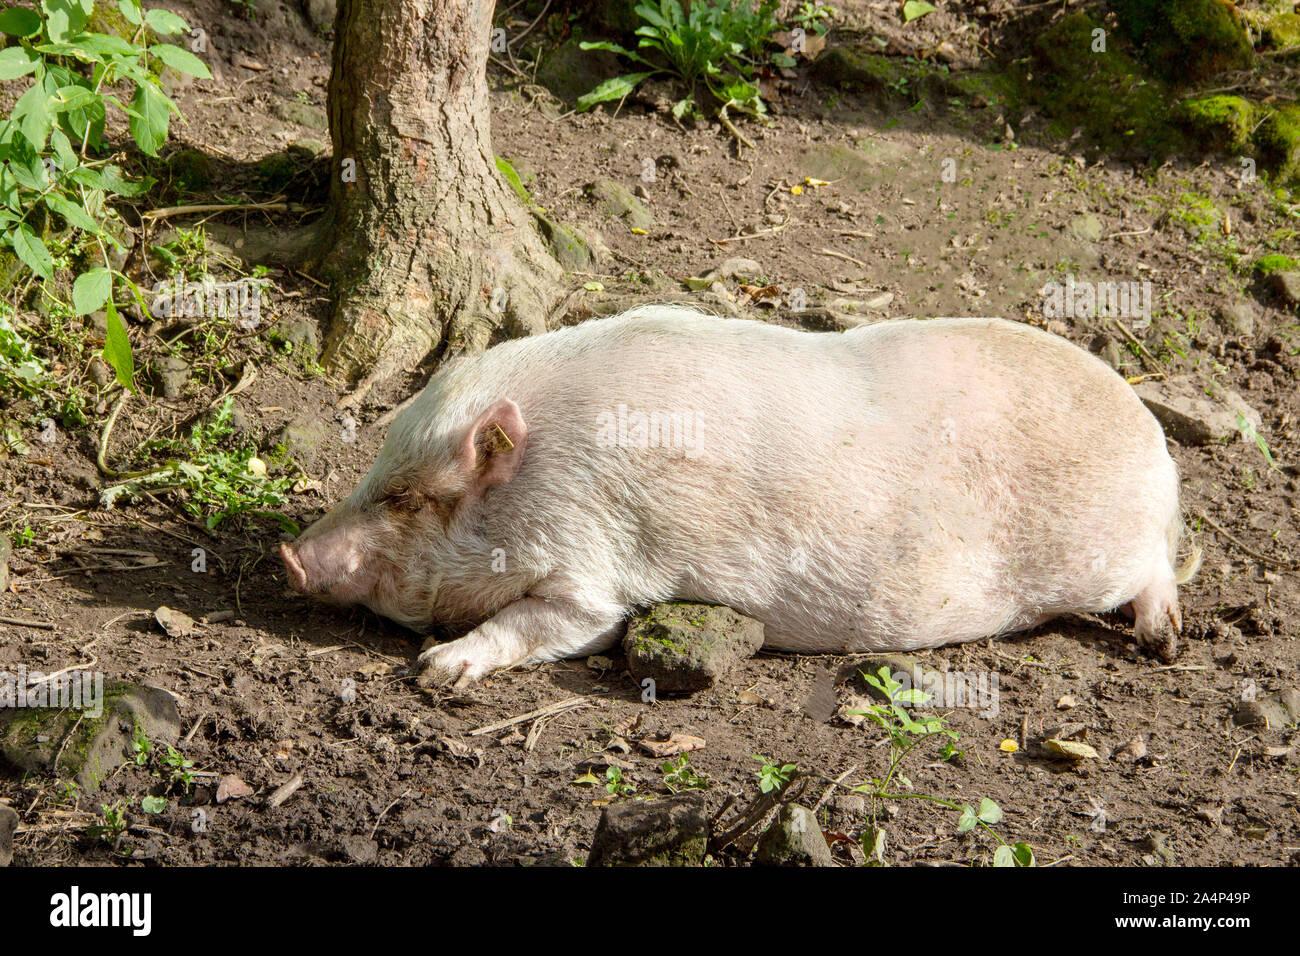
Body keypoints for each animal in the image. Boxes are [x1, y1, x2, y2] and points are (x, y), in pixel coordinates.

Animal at [284, 306, 1196, 686]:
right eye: (375, 470)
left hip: (1105, 554)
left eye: (411, 497)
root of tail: (1153, 438)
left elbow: (559, 624)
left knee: (1156, 570)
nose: (288, 556)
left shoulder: (594, 565)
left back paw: (1164, 642)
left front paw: (436, 672)